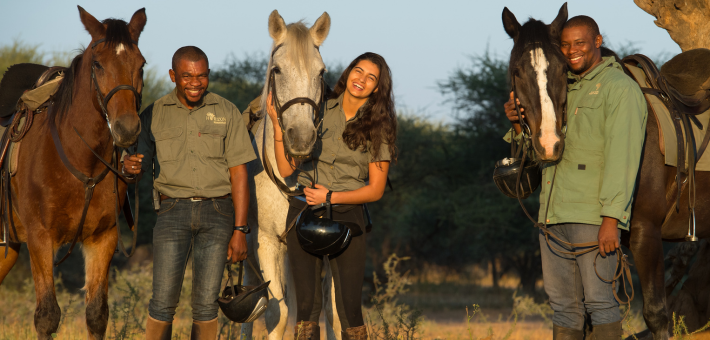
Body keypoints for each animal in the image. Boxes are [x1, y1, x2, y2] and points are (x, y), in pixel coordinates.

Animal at [0, 5, 146, 340]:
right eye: (98, 64)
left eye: (141, 64)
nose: (127, 129)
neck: (81, 160)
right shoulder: (41, 238)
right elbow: (47, 316)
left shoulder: (102, 239)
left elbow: (96, 314)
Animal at [242, 10, 342, 340]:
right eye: (277, 69)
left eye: (321, 73)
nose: (301, 138)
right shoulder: (267, 242)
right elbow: (276, 312)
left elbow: (332, 313)